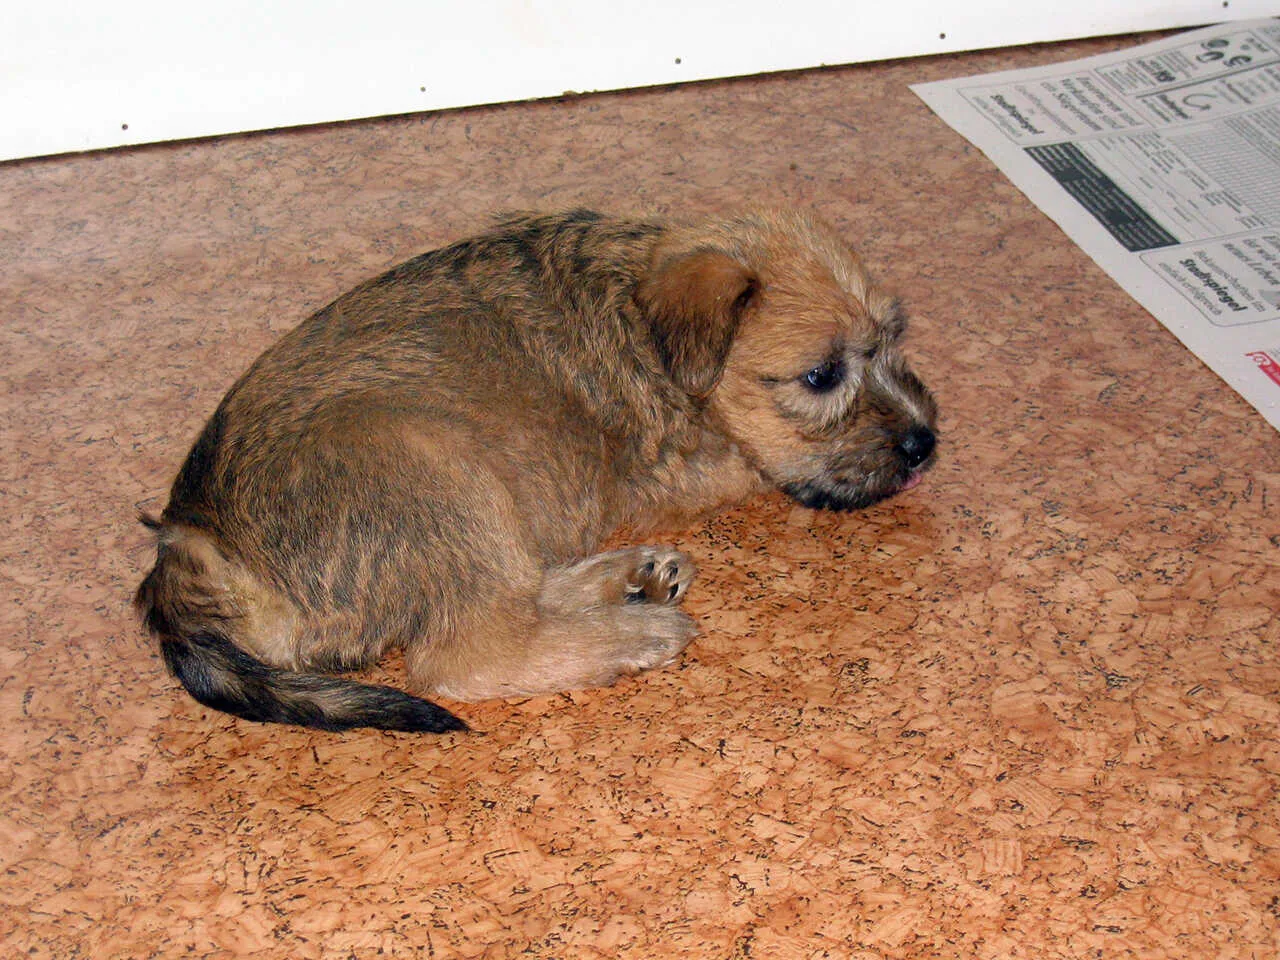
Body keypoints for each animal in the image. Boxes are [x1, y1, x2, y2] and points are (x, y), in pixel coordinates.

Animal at [137, 209, 942, 732]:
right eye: (822, 376)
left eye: (893, 339)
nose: (925, 442)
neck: (641, 320)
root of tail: (195, 548)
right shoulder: (688, 462)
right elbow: (756, 464)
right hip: (435, 463)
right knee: (467, 651)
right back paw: (632, 634)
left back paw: (625, 580)